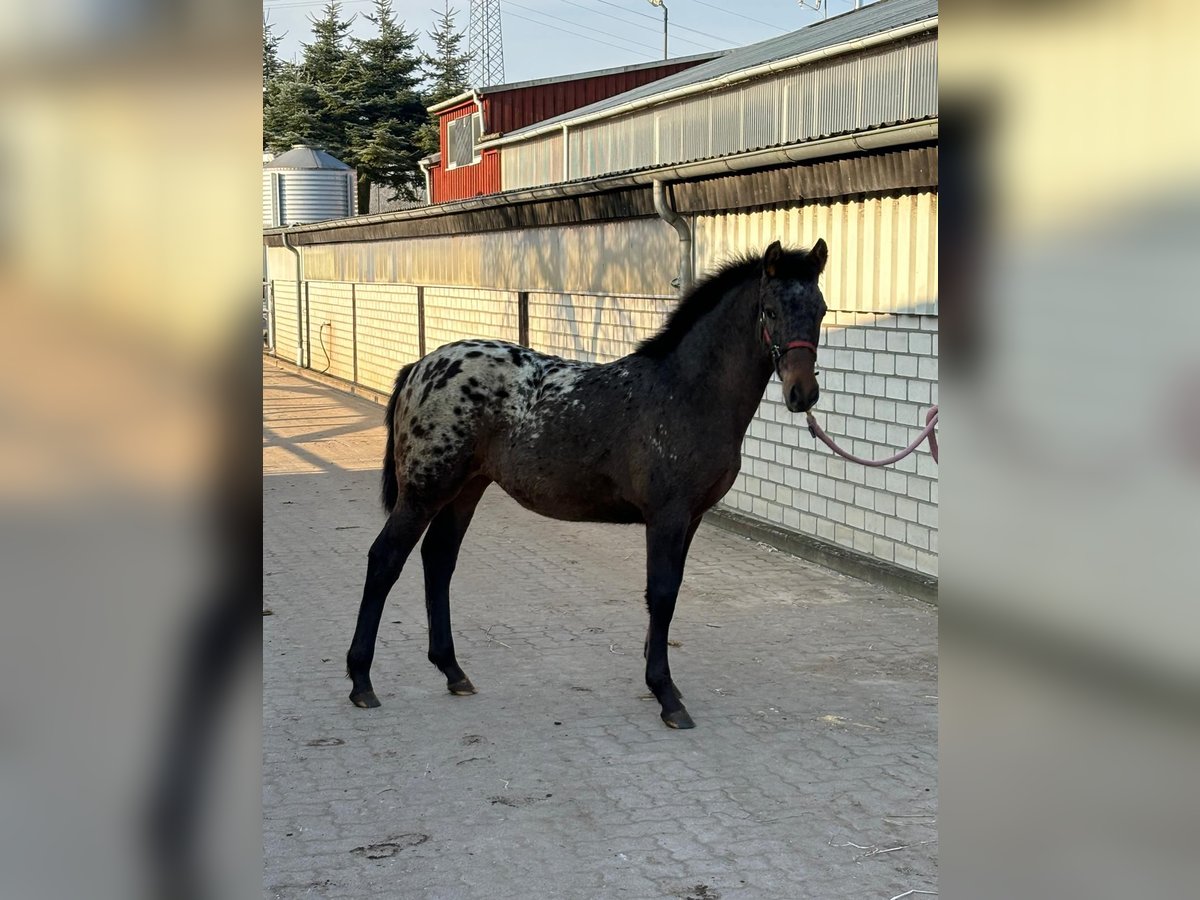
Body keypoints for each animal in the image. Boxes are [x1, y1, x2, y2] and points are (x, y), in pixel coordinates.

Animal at [348, 241, 830, 734]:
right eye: (769, 310)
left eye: (821, 310)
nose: (802, 394)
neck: (686, 393)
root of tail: (420, 367)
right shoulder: (667, 516)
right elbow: (660, 592)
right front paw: (665, 695)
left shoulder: (691, 519)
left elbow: (671, 591)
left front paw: (662, 683)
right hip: (425, 491)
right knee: (385, 560)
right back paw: (362, 681)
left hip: (466, 488)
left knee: (439, 560)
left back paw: (452, 671)